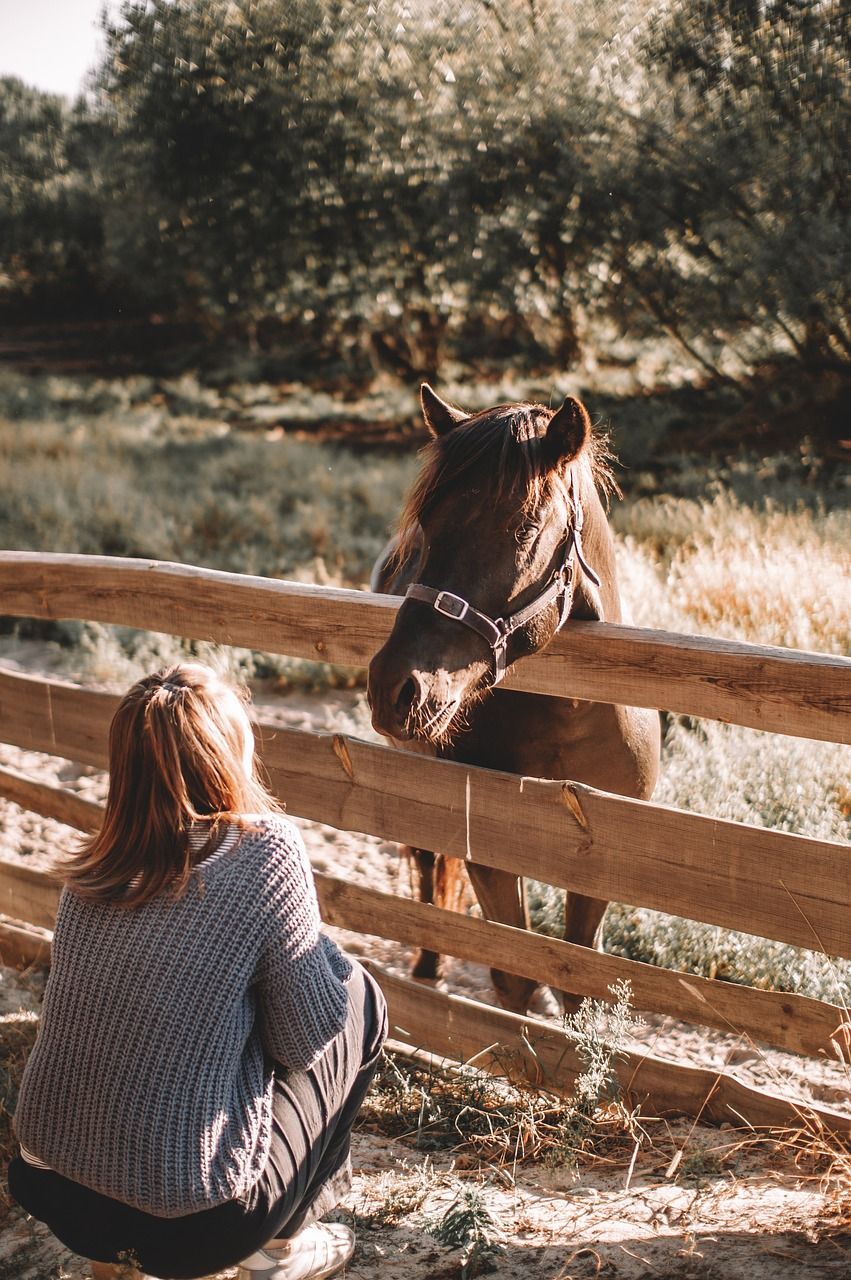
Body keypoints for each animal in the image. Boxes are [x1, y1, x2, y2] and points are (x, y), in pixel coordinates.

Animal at [368, 384, 660, 1013]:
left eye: (526, 528)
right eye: (426, 524)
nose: (394, 687)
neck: (570, 714)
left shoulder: (601, 856)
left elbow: (576, 983)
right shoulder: (493, 856)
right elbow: (515, 976)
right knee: (425, 863)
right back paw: (428, 962)